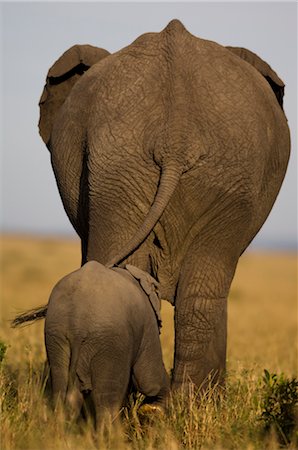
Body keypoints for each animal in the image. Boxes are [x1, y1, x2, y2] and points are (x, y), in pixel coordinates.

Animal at [37, 19, 292, 388]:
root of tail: (176, 136)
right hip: (140, 167)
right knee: (196, 292)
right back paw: (179, 401)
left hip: (181, 170)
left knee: (189, 291)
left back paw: (175, 400)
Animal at [44, 260, 170, 426]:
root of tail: (77, 324)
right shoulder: (148, 322)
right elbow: (149, 380)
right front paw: (154, 409)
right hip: (110, 343)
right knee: (107, 401)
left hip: (56, 336)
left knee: (62, 393)